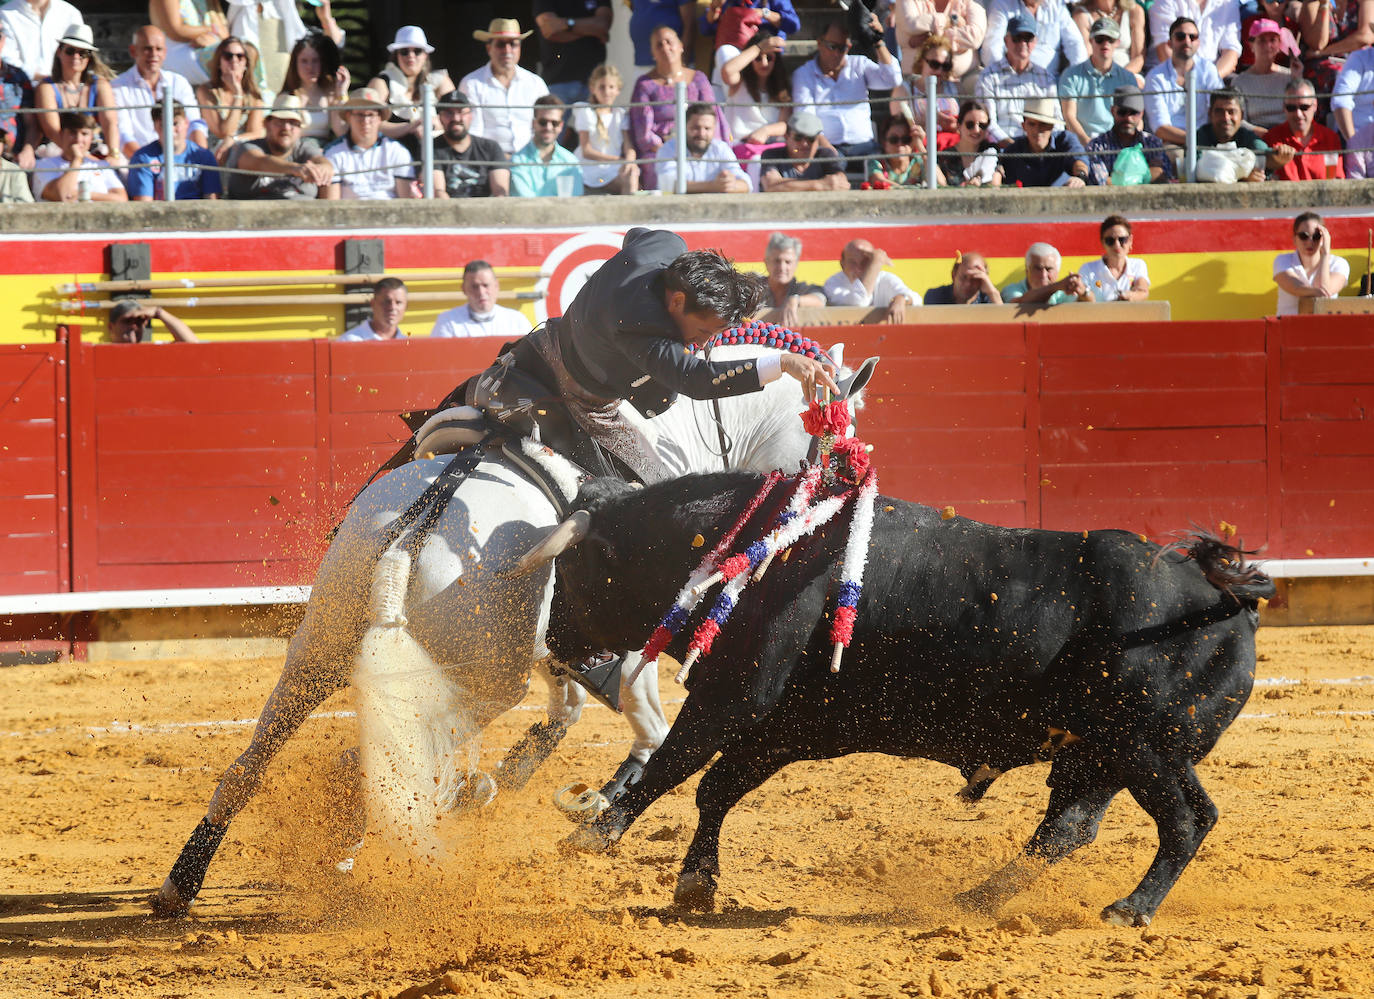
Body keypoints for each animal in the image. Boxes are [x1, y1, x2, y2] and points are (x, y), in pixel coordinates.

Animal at [153, 346, 868, 912]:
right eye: (834, 443)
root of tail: (410, 539)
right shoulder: (625, 640)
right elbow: (645, 725)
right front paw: (578, 804)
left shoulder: (563, 649)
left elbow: (573, 711)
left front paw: (536, 786)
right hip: (481, 680)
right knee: (388, 760)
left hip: (319, 646)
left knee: (256, 763)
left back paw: (185, 884)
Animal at [524, 472, 1275, 923]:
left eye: (574, 570)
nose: (547, 637)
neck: (757, 550)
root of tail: (1227, 600)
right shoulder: (783, 728)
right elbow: (717, 787)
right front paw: (695, 884)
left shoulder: (730, 701)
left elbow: (672, 769)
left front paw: (592, 835)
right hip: (1102, 756)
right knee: (1070, 825)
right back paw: (975, 898)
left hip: (1143, 747)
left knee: (1186, 819)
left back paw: (1129, 908)